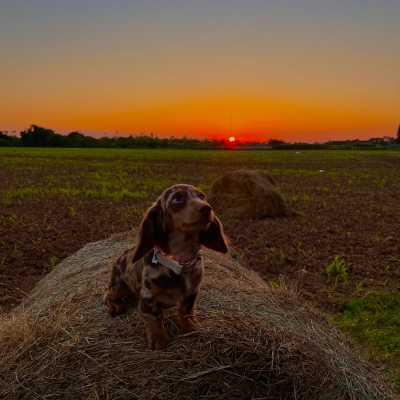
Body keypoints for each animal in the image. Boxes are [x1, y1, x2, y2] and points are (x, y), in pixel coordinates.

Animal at [103, 184, 228, 350]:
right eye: (177, 198)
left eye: (201, 196)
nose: (207, 208)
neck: (179, 263)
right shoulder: (147, 297)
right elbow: (154, 317)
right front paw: (158, 339)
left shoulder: (193, 292)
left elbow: (187, 311)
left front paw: (191, 327)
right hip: (118, 288)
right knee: (107, 296)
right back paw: (115, 306)